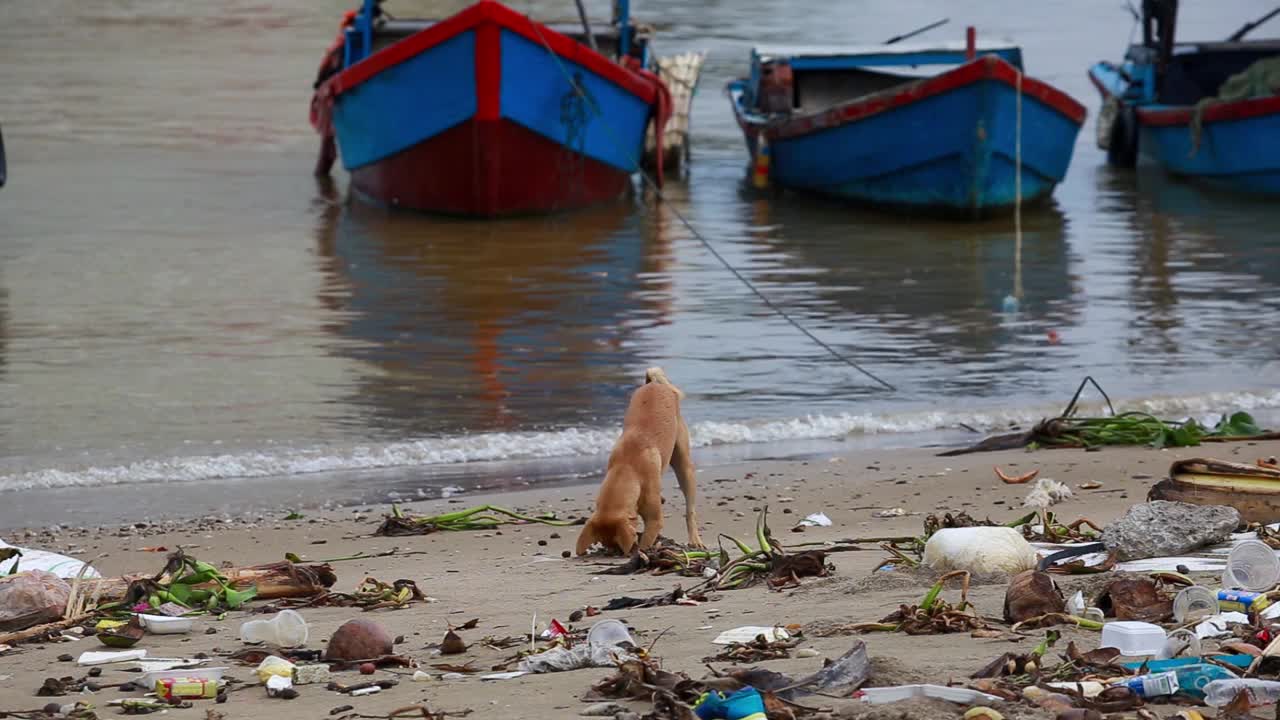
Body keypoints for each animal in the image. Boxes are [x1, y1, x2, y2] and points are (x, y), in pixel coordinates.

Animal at [576, 366, 706, 550]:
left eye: (617, 545)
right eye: (607, 545)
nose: (612, 553)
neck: (627, 467)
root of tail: (653, 383)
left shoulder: (654, 521)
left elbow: (645, 542)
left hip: (684, 465)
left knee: (690, 509)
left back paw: (694, 538)